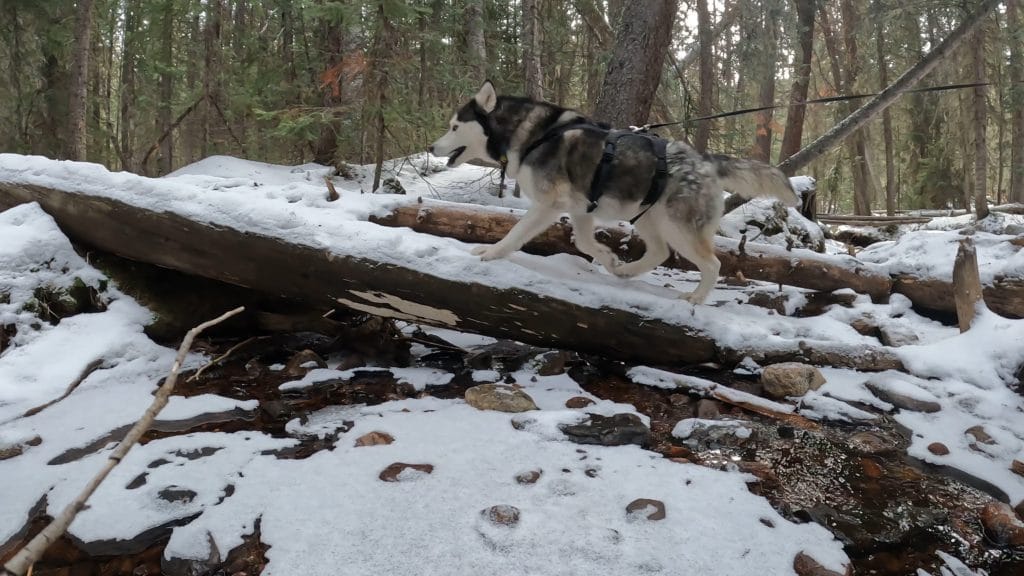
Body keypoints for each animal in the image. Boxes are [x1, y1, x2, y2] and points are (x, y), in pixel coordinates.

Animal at [428, 81, 794, 305]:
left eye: (455, 127)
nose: (431, 147)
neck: (533, 135)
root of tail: (703, 160)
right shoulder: (579, 208)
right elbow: (583, 242)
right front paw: (609, 258)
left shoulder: (548, 205)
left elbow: (515, 234)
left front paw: (490, 254)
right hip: (647, 218)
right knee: (659, 252)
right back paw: (626, 271)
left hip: (678, 228)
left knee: (713, 264)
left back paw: (696, 299)